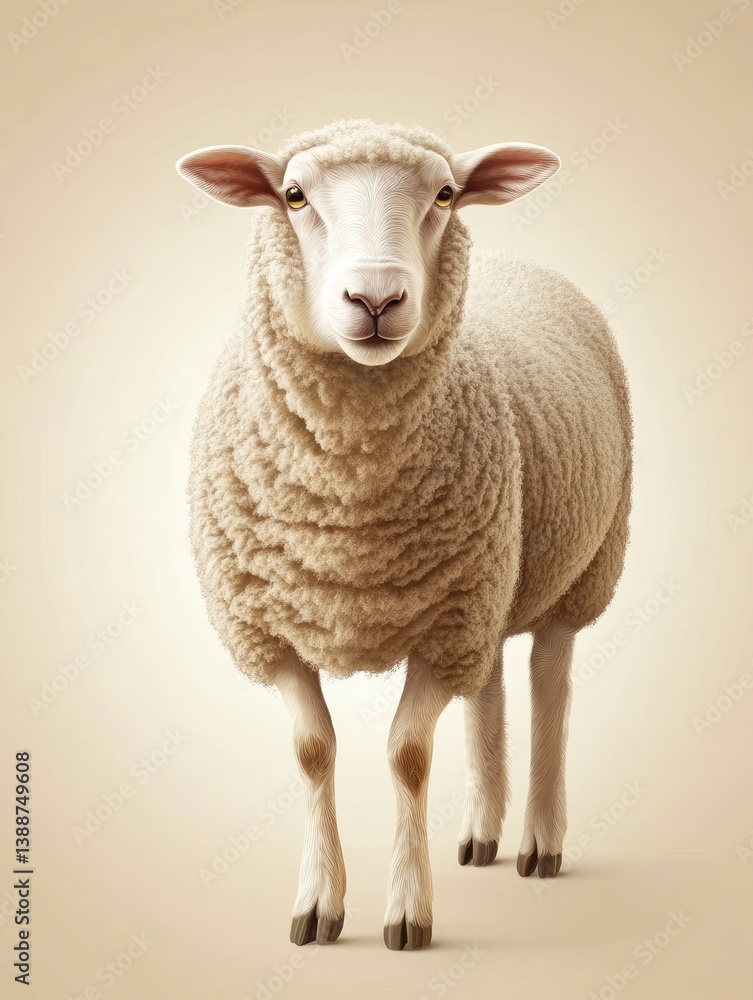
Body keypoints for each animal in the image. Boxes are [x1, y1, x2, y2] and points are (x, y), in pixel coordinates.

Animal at [176, 118, 632, 952]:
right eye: (293, 195)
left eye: (445, 194)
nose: (377, 298)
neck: (345, 507)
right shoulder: (276, 628)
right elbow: (313, 751)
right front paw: (317, 907)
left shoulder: (445, 624)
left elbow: (408, 756)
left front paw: (407, 912)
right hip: (489, 584)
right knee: (488, 687)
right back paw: (481, 833)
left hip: (575, 570)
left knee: (549, 686)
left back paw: (539, 841)